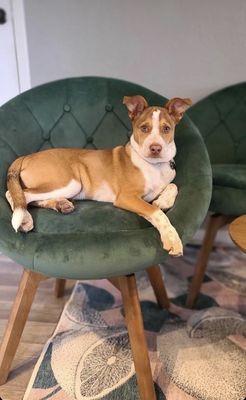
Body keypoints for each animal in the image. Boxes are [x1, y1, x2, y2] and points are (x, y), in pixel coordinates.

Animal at [5, 95, 191, 256]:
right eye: (144, 128)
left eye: (166, 129)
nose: (156, 148)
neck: (154, 165)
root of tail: (26, 156)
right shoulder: (127, 197)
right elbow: (156, 212)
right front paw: (172, 238)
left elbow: (173, 185)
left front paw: (163, 200)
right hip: (70, 182)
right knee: (18, 195)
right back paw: (25, 219)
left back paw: (60, 204)